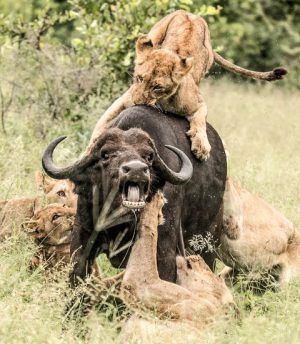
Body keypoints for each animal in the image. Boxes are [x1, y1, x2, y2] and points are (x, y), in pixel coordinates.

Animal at [41, 106, 226, 284]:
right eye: (106, 154)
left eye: (149, 156)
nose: (136, 170)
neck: (121, 223)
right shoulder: (82, 235)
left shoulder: (165, 248)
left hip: (206, 242)